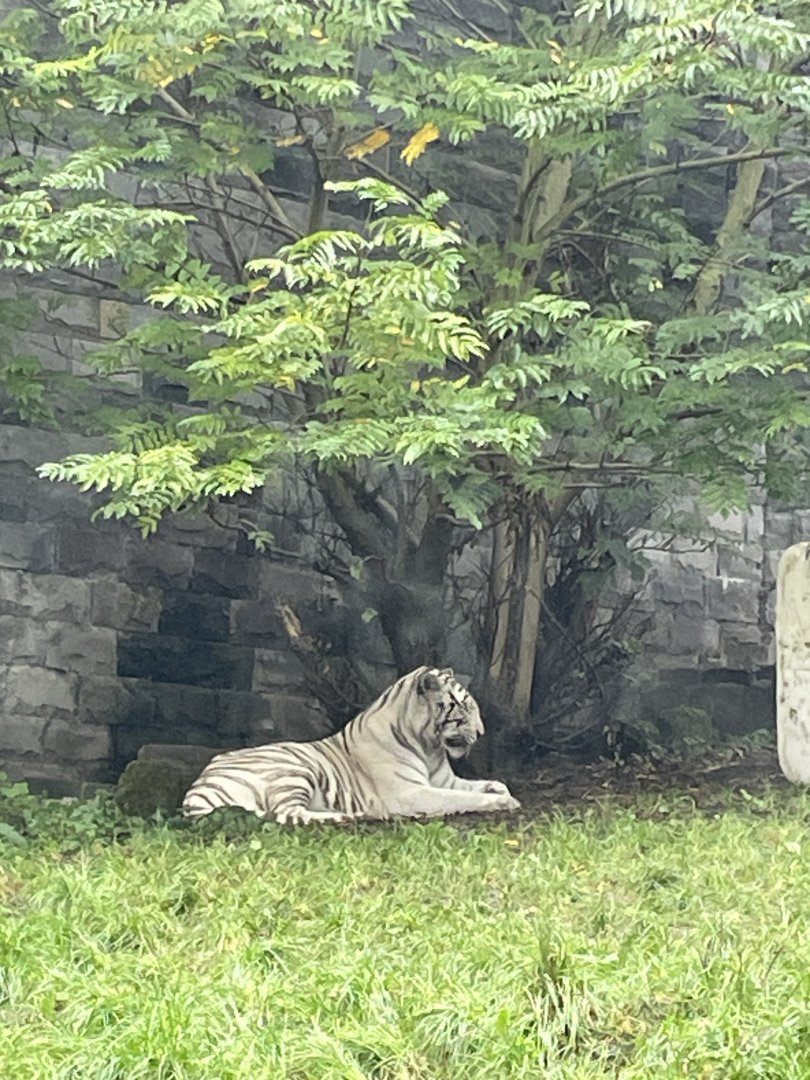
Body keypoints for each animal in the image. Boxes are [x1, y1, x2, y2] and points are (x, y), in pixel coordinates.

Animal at [181, 665, 520, 824]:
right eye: (463, 709)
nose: (481, 732)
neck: (429, 747)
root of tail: (198, 786)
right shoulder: (412, 793)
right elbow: (461, 798)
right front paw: (505, 802)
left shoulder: (444, 779)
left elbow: (481, 785)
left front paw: (499, 789)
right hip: (294, 770)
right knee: (287, 814)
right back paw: (351, 816)